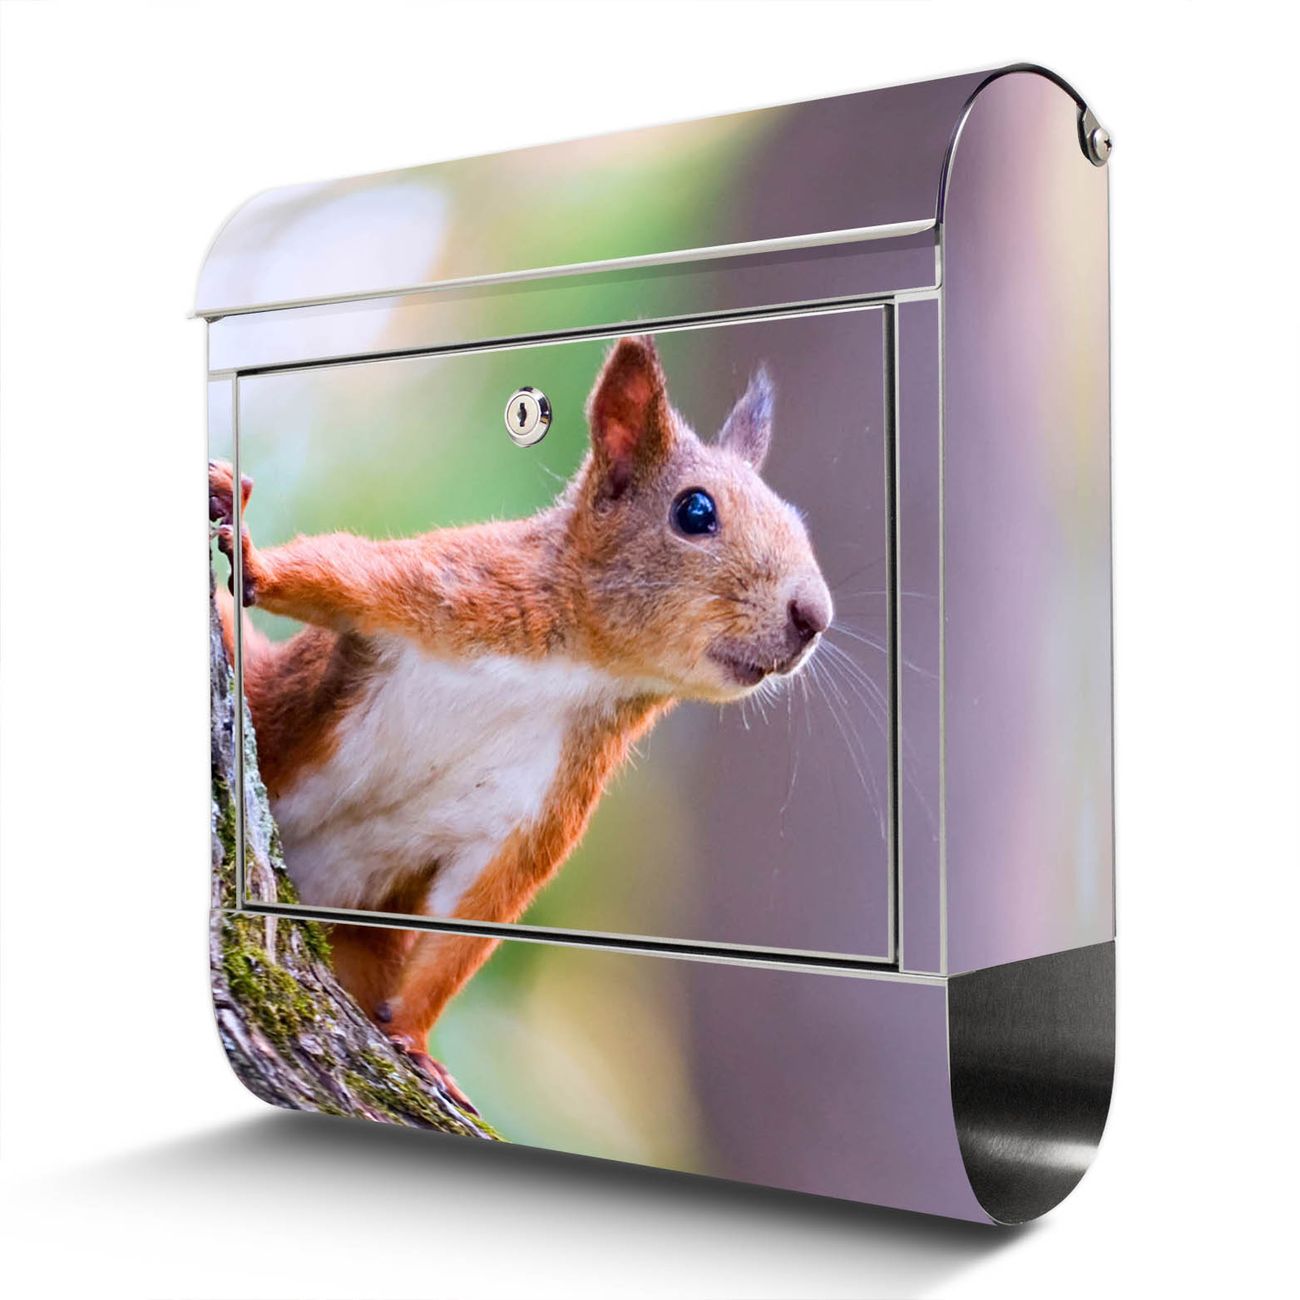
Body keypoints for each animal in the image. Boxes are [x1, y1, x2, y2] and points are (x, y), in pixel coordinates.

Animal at [210, 335, 832, 1106]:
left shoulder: (542, 799)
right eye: (695, 512)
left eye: (799, 523)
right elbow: (336, 573)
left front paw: (415, 1042)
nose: (814, 617)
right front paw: (252, 557)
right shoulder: (451, 588)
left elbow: (475, 916)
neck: (578, 669)